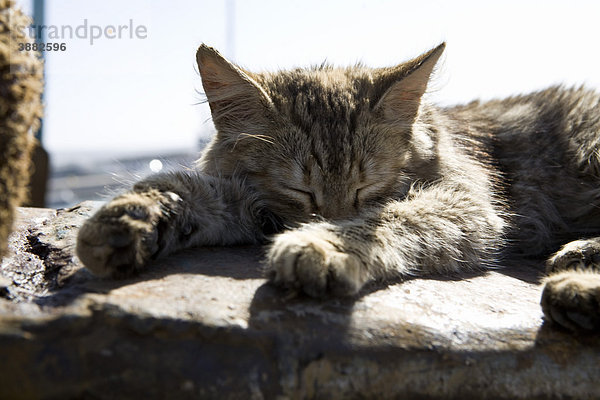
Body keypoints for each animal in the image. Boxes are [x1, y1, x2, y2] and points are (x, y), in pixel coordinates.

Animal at [76, 43, 600, 332]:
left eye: (367, 187)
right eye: (302, 191)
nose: (328, 217)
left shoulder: (469, 204)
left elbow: (391, 218)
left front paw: (324, 244)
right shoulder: (254, 201)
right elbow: (185, 187)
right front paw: (131, 216)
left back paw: (575, 278)